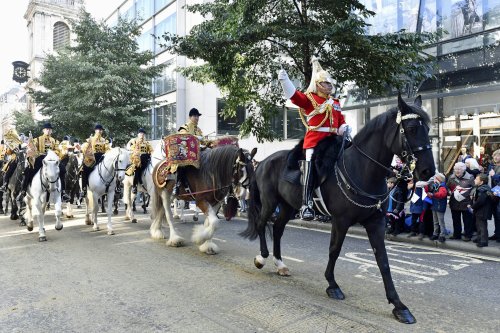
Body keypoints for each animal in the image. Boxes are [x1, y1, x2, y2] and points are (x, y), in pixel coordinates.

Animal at [241, 94, 434, 322]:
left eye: (428, 128)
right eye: (411, 129)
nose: (428, 170)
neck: (362, 169)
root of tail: (263, 162)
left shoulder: (375, 222)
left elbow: (383, 261)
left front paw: (399, 305)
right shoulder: (341, 220)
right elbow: (334, 250)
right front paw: (332, 285)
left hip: (287, 207)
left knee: (278, 229)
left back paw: (280, 265)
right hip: (270, 202)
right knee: (262, 224)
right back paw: (261, 258)